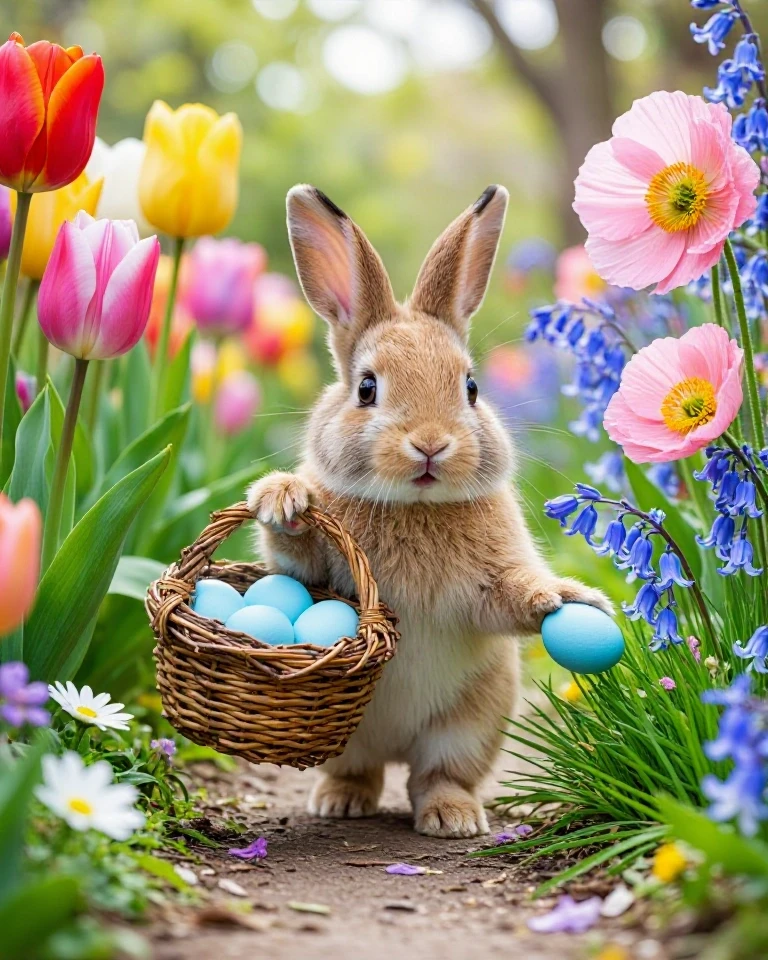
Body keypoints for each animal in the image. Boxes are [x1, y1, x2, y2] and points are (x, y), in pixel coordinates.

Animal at [247, 184, 612, 839]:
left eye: (471, 388)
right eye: (366, 389)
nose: (431, 444)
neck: (414, 506)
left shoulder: (490, 587)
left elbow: (511, 597)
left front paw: (562, 598)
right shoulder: (315, 573)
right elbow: (295, 568)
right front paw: (283, 498)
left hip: (470, 722)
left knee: (437, 775)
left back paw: (452, 818)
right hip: (348, 735)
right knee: (360, 771)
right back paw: (340, 802)